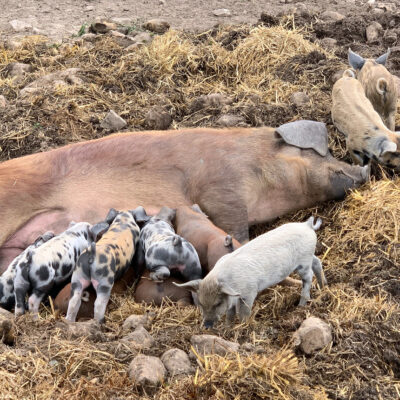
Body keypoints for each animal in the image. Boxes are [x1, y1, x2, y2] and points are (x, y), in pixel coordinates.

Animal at [177, 219, 326, 328]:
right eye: (201, 304)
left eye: (217, 303)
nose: (207, 326)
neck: (230, 282)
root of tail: (306, 225)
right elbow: (230, 313)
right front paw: (227, 327)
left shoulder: (249, 292)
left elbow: (244, 312)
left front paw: (242, 326)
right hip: (308, 256)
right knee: (317, 262)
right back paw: (323, 285)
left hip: (303, 262)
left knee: (308, 277)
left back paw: (302, 304)